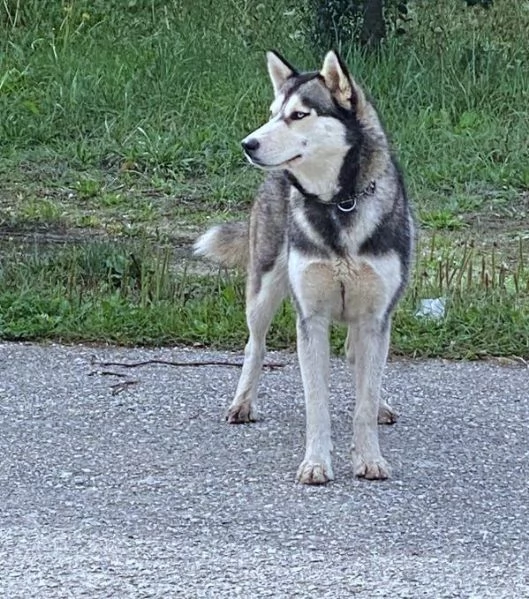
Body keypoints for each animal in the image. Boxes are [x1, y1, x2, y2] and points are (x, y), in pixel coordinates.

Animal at [194, 49, 412, 486]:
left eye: (298, 115)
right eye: (273, 112)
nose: (248, 144)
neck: (339, 204)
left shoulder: (375, 317)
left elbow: (364, 399)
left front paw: (369, 456)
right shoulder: (310, 319)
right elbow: (317, 404)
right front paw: (316, 463)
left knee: (359, 360)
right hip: (263, 291)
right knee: (255, 346)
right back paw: (242, 402)